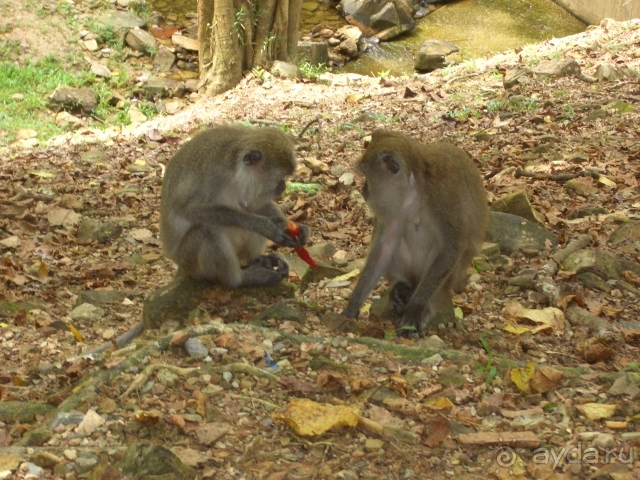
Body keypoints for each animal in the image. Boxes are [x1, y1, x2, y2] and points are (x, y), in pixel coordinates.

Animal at [160, 125, 310, 286]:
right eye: (279, 179)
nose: (283, 187)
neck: (235, 167)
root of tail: (181, 266)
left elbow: (253, 205)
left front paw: (290, 226)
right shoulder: (214, 175)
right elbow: (189, 210)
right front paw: (264, 226)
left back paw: (258, 259)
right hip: (189, 260)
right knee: (208, 229)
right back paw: (240, 279)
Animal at [342, 129, 488, 336]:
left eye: (367, 175)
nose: (364, 191)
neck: (413, 188)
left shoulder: (442, 197)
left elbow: (451, 247)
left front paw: (414, 310)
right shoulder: (393, 207)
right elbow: (385, 245)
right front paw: (353, 305)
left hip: (452, 277)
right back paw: (401, 288)